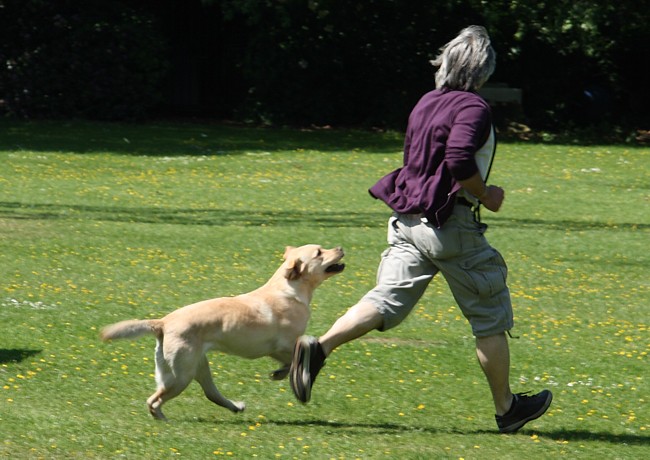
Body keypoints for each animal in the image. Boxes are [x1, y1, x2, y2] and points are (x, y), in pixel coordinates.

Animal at [98, 244, 342, 420]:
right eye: (319, 252)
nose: (340, 247)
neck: (288, 289)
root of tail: (163, 323)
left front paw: (282, 373)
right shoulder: (284, 344)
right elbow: (297, 356)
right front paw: (290, 372)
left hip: (196, 367)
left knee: (210, 394)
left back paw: (235, 406)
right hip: (181, 375)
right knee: (154, 400)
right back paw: (162, 418)